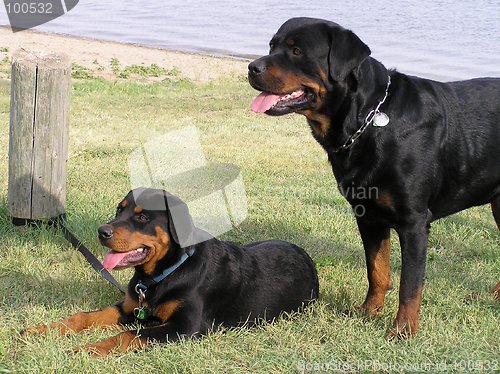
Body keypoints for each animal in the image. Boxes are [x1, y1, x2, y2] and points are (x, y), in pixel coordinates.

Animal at [23, 188, 318, 356]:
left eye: (142, 217)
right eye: (119, 209)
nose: (101, 232)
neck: (159, 276)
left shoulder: (185, 327)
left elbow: (128, 335)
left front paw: (88, 349)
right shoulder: (129, 308)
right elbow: (84, 316)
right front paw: (42, 329)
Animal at [247, 16, 500, 338]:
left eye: (296, 51)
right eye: (272, 46)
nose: (252, 67)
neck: (369, 122)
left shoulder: (414, 222)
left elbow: (410, 285)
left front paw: (403, 331)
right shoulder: (367, 215)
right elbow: (377, 270)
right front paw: (368, 312)